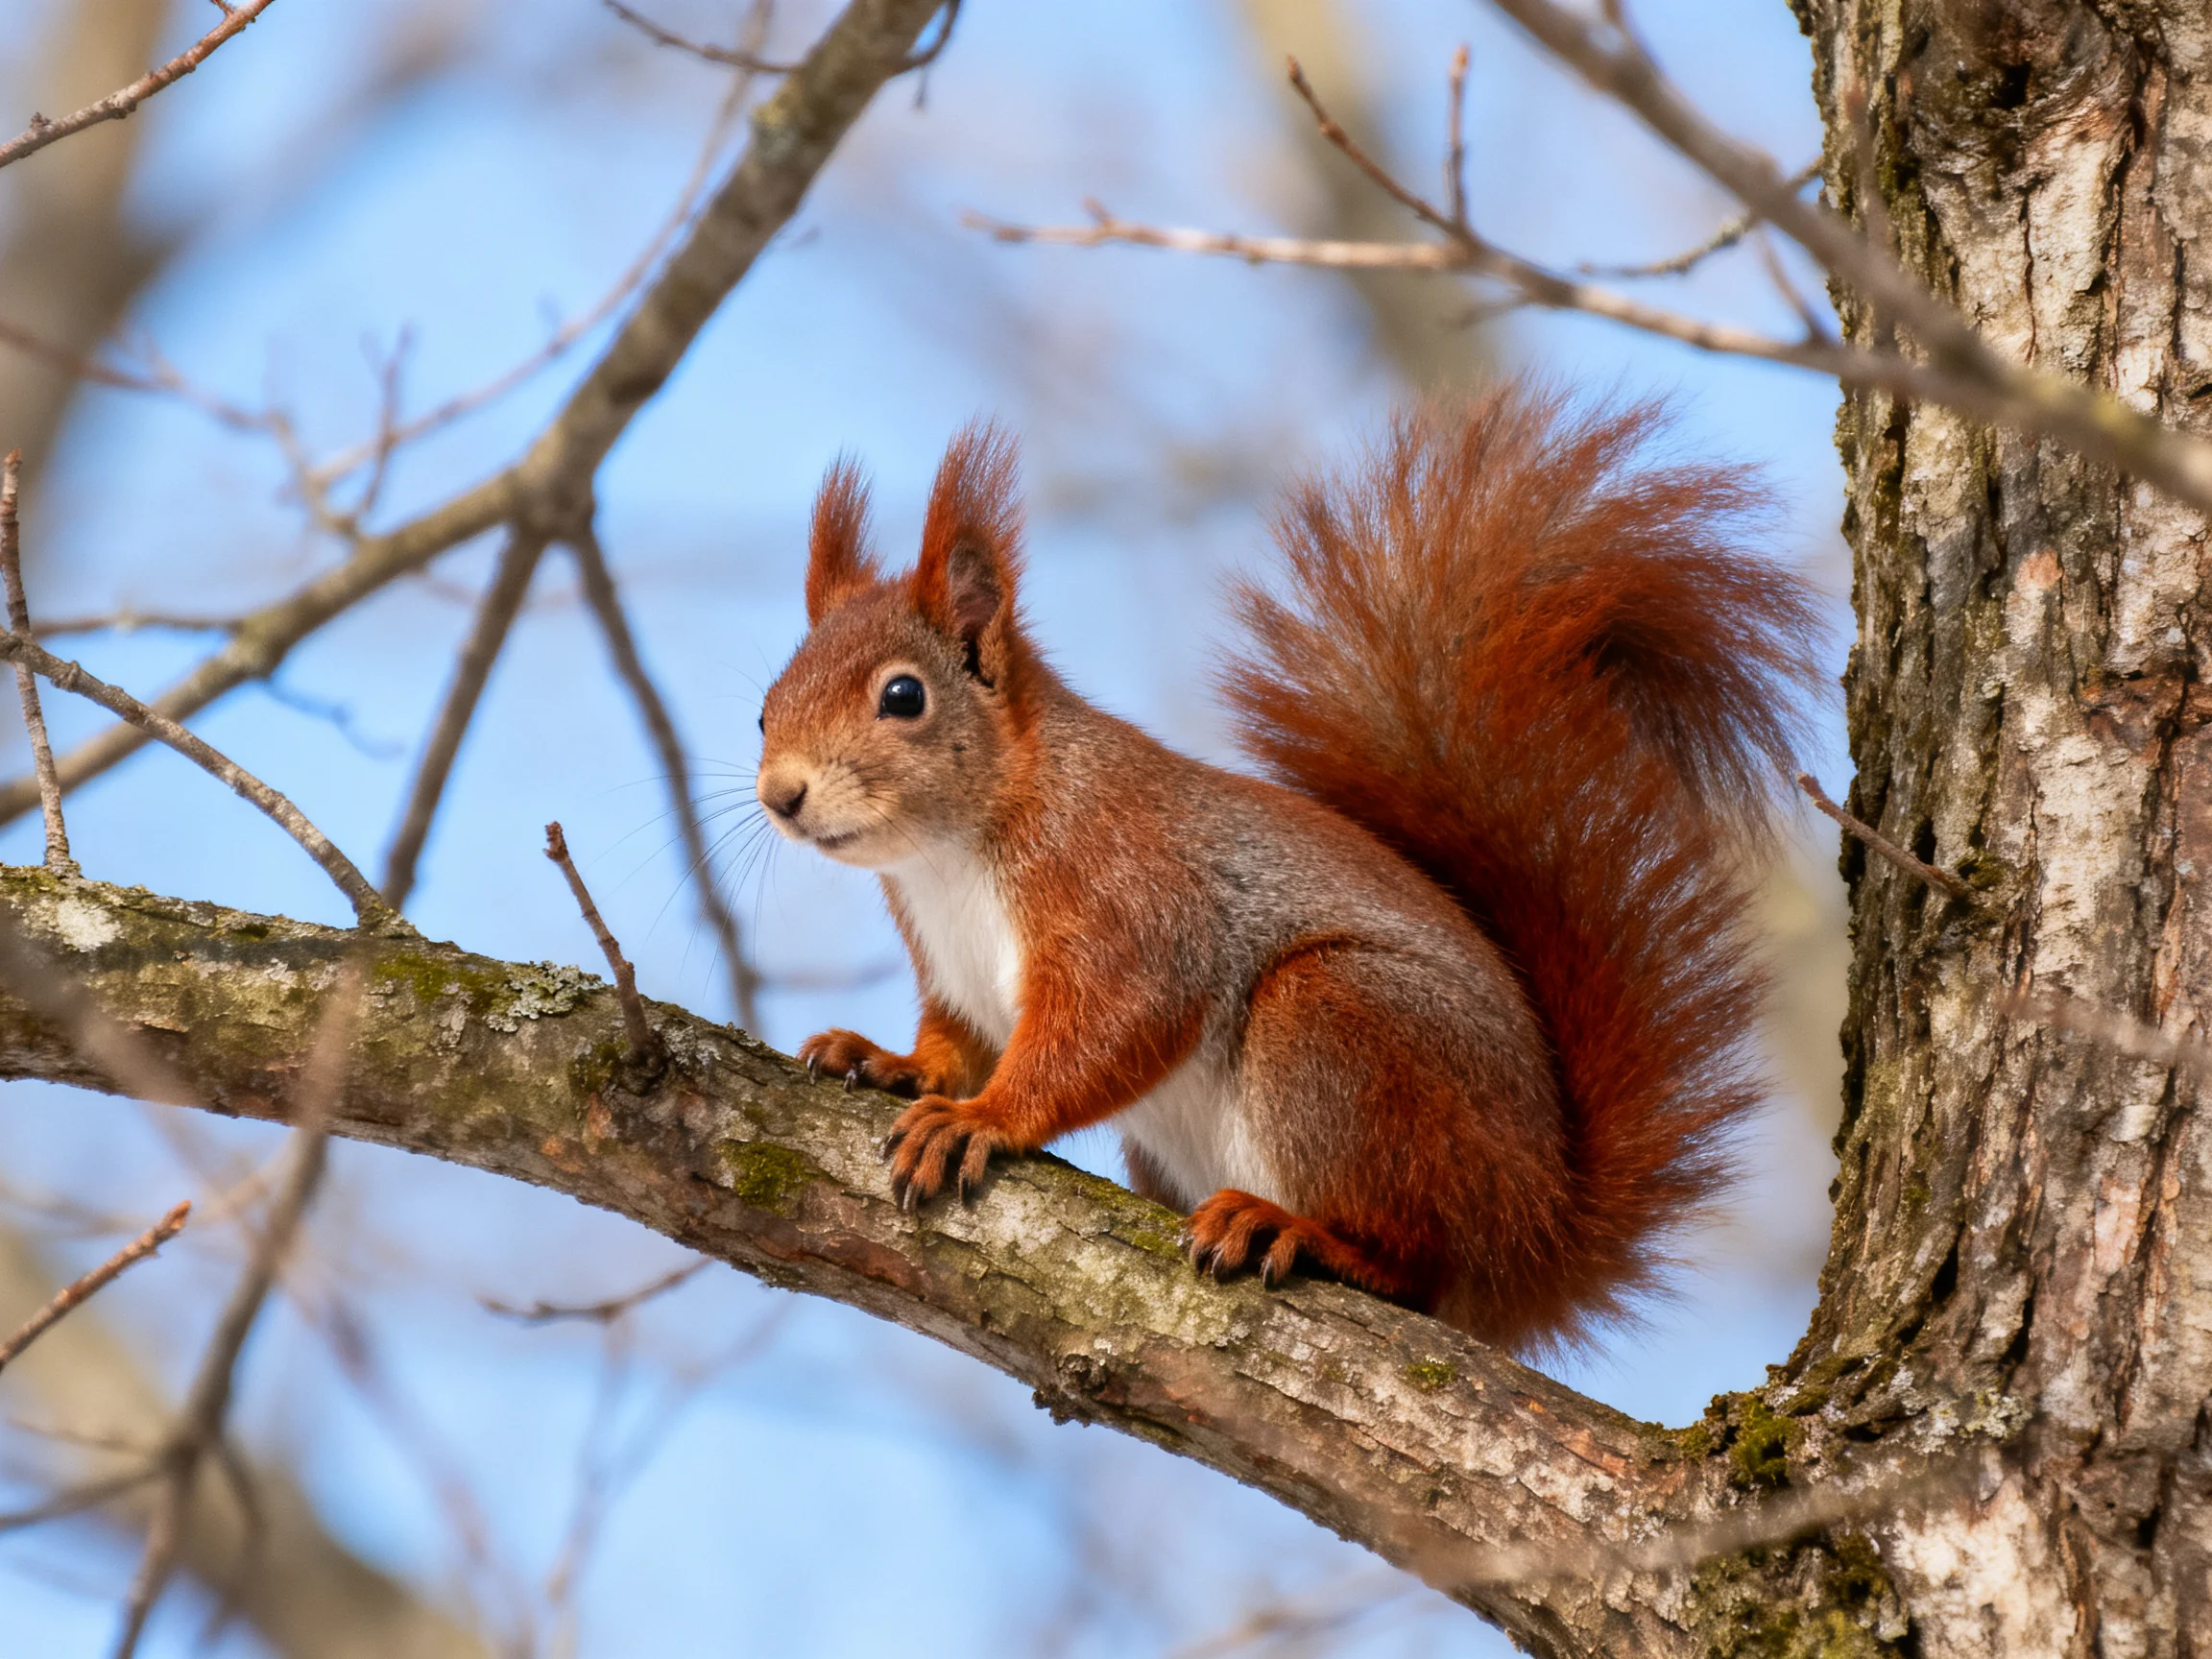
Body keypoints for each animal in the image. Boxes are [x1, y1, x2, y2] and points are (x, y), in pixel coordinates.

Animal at [756, 381, 1818, 1350]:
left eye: (904, 696)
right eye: (766, 706)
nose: (780, 794)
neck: (951, 852)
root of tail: (1540, 1233)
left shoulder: (1127, 890)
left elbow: (1117, 1023)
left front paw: (982, 1118)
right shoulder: (956, 970)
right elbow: (959, 1040)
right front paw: (892, 1063)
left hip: (1338, 1027)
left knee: (1416, 1263)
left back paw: (1300, 1231)